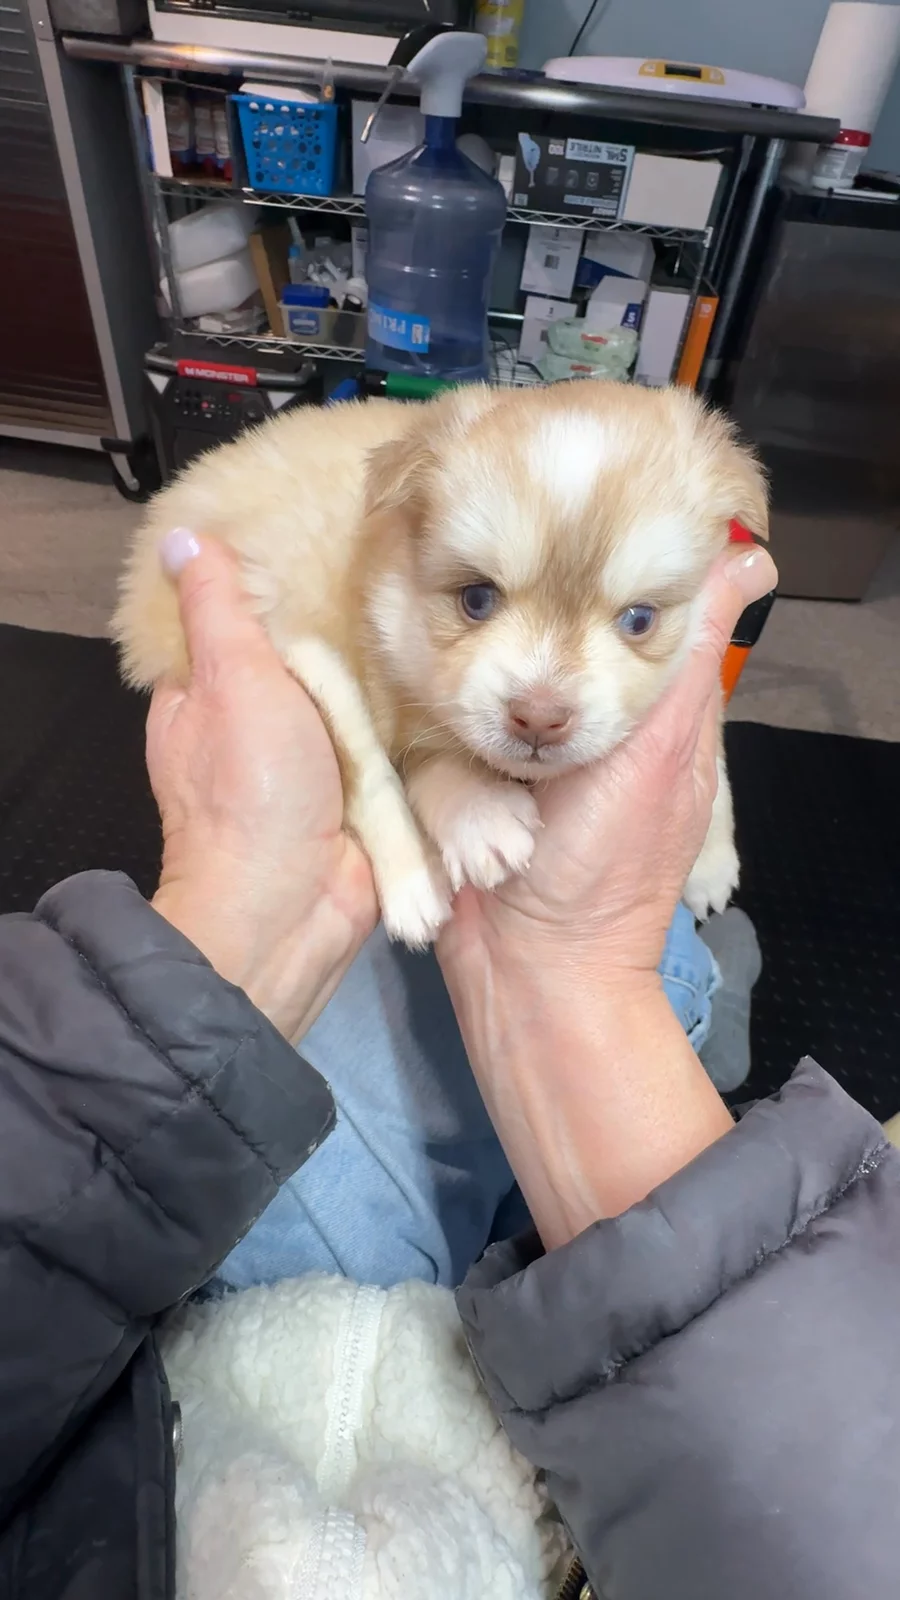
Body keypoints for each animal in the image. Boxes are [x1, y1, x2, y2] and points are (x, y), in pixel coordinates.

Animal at [114, 381, 767, 948]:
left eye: (639, 619)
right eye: (476, 598)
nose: (538, 718)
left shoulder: (706, 669)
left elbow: (713, 754)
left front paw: (709, 859)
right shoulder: (371, 674)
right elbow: (420, 760)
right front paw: (480, 817)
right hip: (301, 647)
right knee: (363, 771)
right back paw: (414, 885)